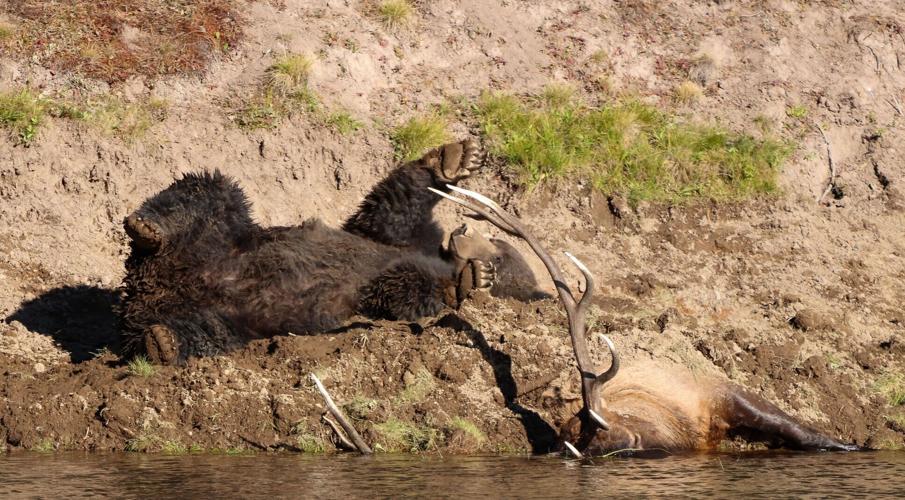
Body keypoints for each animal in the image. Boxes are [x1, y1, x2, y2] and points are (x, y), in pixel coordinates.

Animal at [120, 139, 504, 365]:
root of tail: (150, 289)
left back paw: (163, 340)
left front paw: (469, 276)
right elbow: (390, 208)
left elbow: (402, 283)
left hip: (229, 317)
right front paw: (455, 161)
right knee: (211, 192)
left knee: (202, 332)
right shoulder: (390, 237)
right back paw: (147, 229)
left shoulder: (394, 255)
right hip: (225, 235)